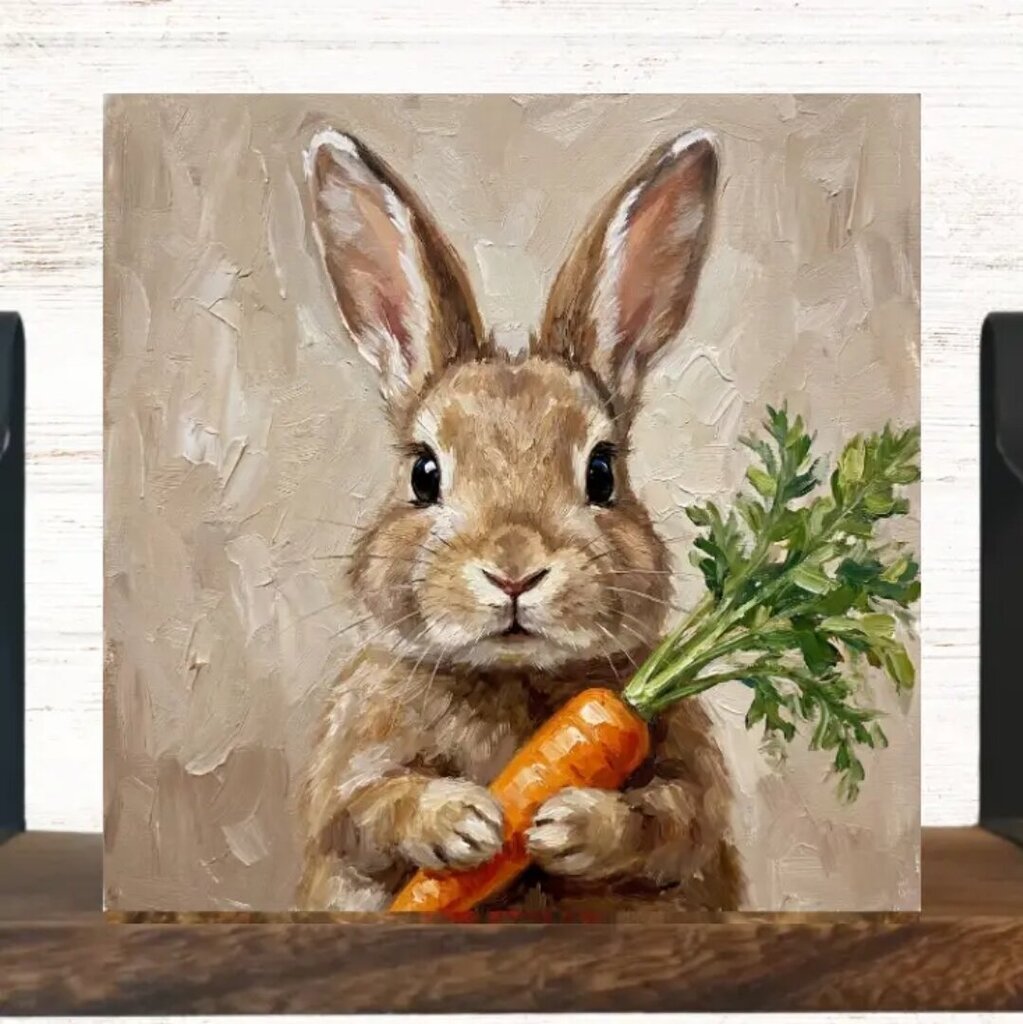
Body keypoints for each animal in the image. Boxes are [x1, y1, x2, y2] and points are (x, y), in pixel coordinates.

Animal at [296, 127, 745, 914]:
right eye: (423, 473)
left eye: (602, 474)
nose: (513, 571)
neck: (511, 681)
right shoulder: (347, 764)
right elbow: (368, 804)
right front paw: (462, 821)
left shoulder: (689, 774)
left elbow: (672, 818)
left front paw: (569, 822)